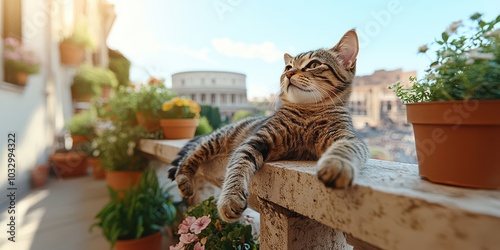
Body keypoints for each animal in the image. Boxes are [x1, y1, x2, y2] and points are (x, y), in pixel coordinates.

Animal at [170, 29, 370, 223]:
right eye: (288, 67)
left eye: (313, 65)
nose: (288, 74)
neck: (308, 111)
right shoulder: (255, 140)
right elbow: (237, 166)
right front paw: (230, 198)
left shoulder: (348, 137)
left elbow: (345, 149)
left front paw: (337, 164)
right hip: (216, 139)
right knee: (191, 154)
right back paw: (184, 179)